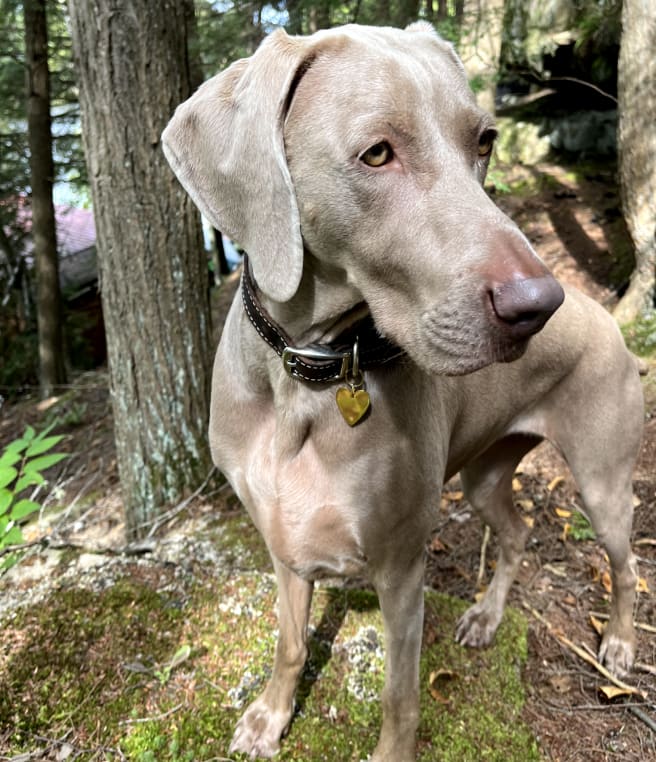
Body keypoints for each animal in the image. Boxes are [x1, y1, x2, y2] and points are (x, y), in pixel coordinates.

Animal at [161, 22, 644, 760]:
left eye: (485, 141)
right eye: (378, 153)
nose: (539, 306)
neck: (310, 371)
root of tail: (604, 317)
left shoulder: (400, 566)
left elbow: (399, 694)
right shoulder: (282, 541)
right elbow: (290, 643)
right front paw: (270, 716)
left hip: (601, 480)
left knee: (627, 560)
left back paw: (617, 644)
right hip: (483, 472)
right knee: (518, 531)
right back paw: (486, 617)